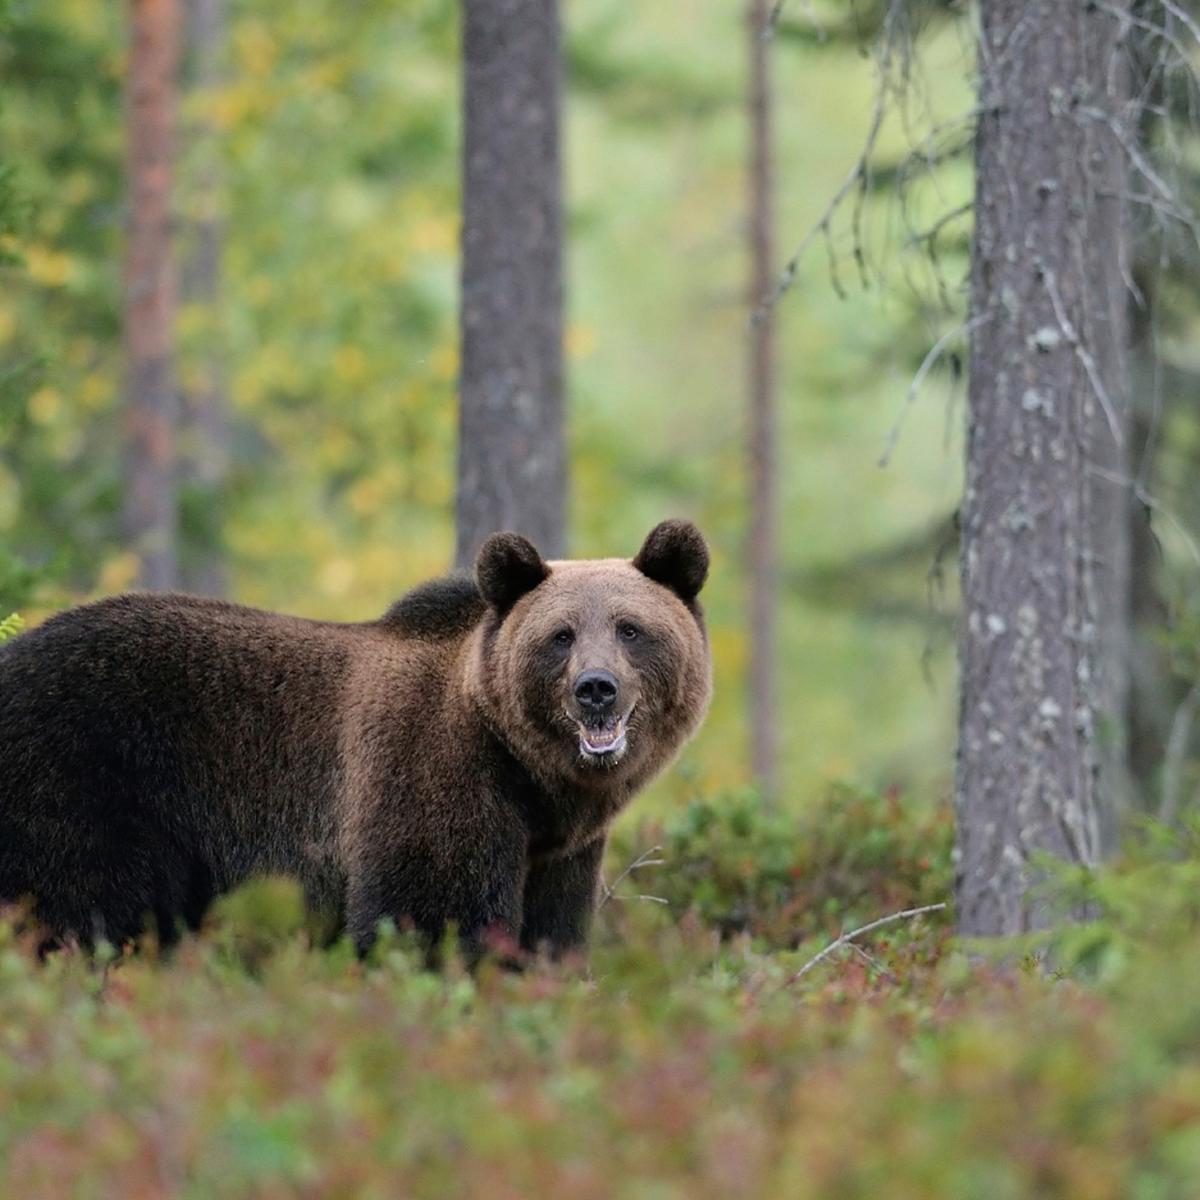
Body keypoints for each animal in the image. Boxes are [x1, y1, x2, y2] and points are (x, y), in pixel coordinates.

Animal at [0, 520, 710, 960]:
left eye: (629, 628)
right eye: (560, 635)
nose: (596, 689)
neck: (531, 778)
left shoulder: (559, 852)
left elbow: (552, 934)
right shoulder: (431, 775)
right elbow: (432, 916)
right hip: (77, 781)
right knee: (82, 911)